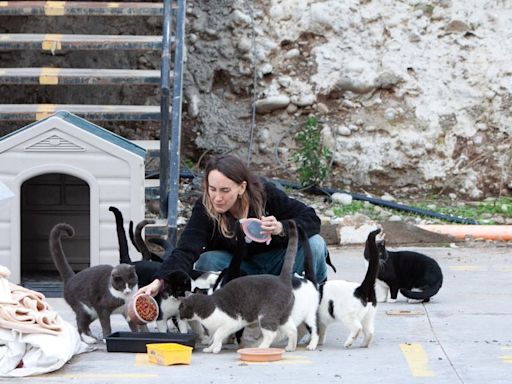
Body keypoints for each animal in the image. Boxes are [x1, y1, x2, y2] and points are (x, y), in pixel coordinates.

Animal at [180, 219, 300, 354]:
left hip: (267, 313)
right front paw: (210, 348)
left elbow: (218, 335)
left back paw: (260, 348)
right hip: (283, 315)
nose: (179, 317)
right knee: (292, 329)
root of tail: (282, 278)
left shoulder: (230, 323)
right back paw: (290, 347)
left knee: (271, 334)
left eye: (180, 309)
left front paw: (216, 348)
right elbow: (215, 337)